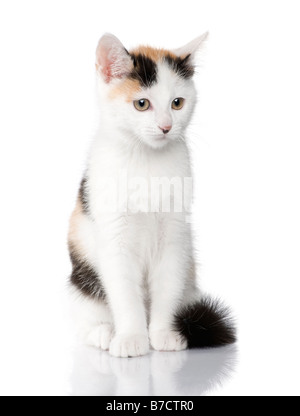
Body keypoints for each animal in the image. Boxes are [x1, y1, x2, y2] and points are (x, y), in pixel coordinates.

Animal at [68, 33, 237, 358]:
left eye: (177, 103)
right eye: (142, 104)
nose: (166, 127)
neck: (146, 160)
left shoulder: (174, 235)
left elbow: (167, 284)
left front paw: (163, 334)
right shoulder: (114, 237)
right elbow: (124, 292)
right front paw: (131, 338)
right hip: (81, 277)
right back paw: (104, 333)